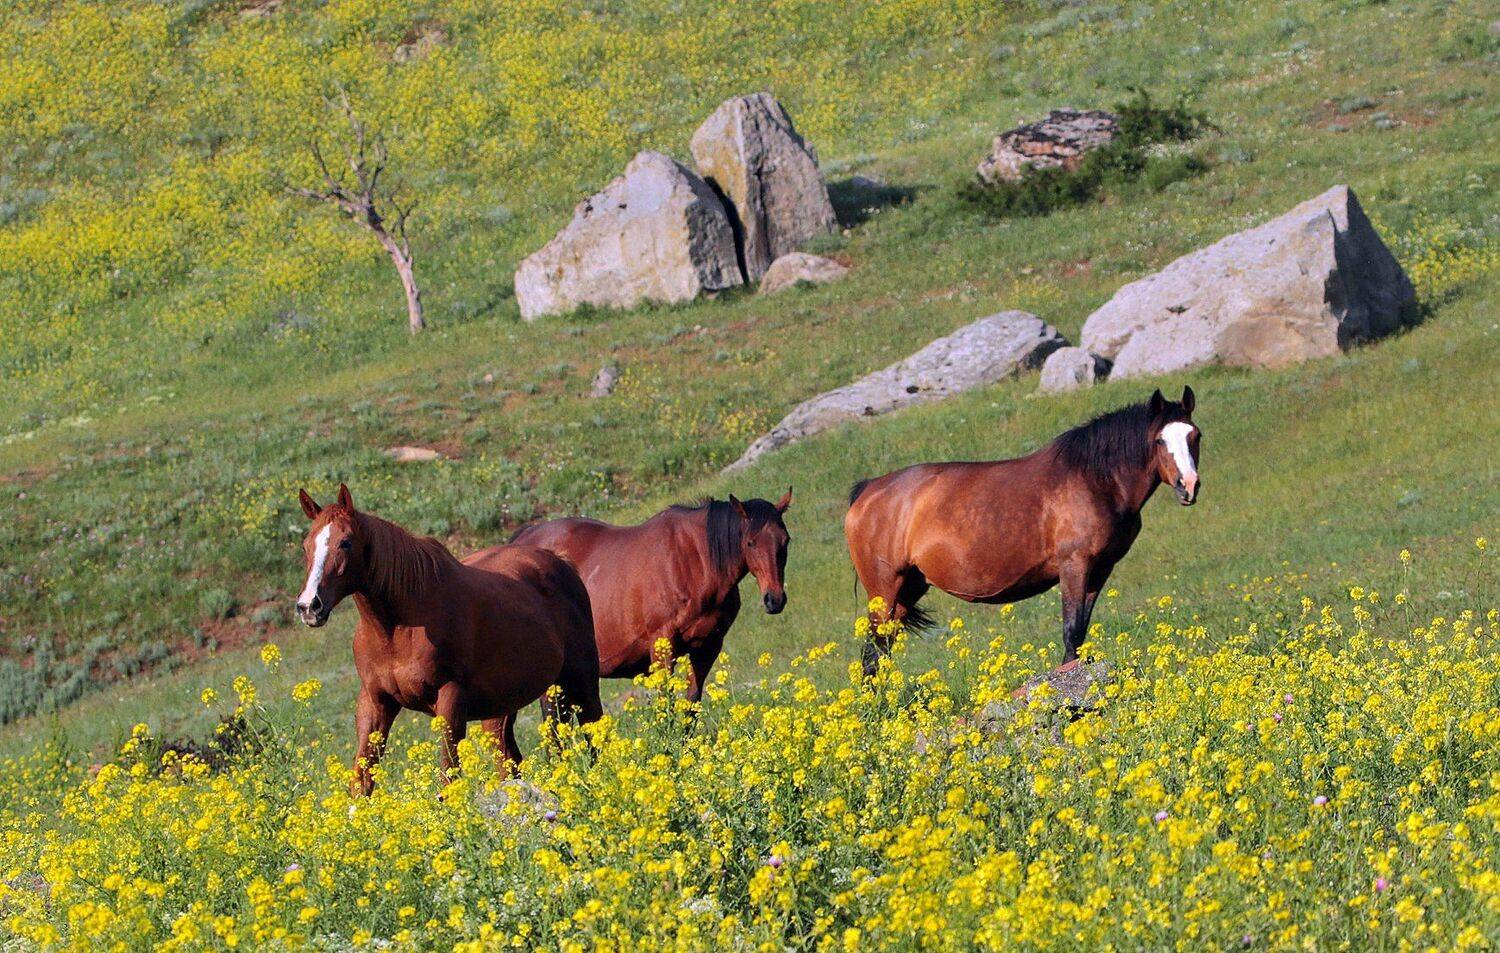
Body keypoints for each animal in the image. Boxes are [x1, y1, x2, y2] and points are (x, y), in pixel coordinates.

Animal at [294, 484, 602, 794]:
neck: (396, 631)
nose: (310, 606)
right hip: (507, 709)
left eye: (345, 542)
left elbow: (448, 776)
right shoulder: (374, 703)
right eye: (306, 546)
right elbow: (362, 782)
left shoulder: (450, 699)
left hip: (580, 683)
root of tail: (559, 562)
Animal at [509, 491, 792, 703]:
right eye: (750, 543)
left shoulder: (708, 646)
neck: (693, 561)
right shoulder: (661, 645)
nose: (774, 599)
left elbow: (691, 704)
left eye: (785, 540)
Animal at [845, 387, 1201, 674]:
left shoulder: (1099, 570)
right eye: (1159, 440)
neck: (1095, 480)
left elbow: (1080, 632)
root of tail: (868, 490)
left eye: (1194, 435)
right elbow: (1071, 630)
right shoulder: (1074, 566)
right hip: (884, 590)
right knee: (873, 652)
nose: (1189, 486)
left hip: (908, 589)